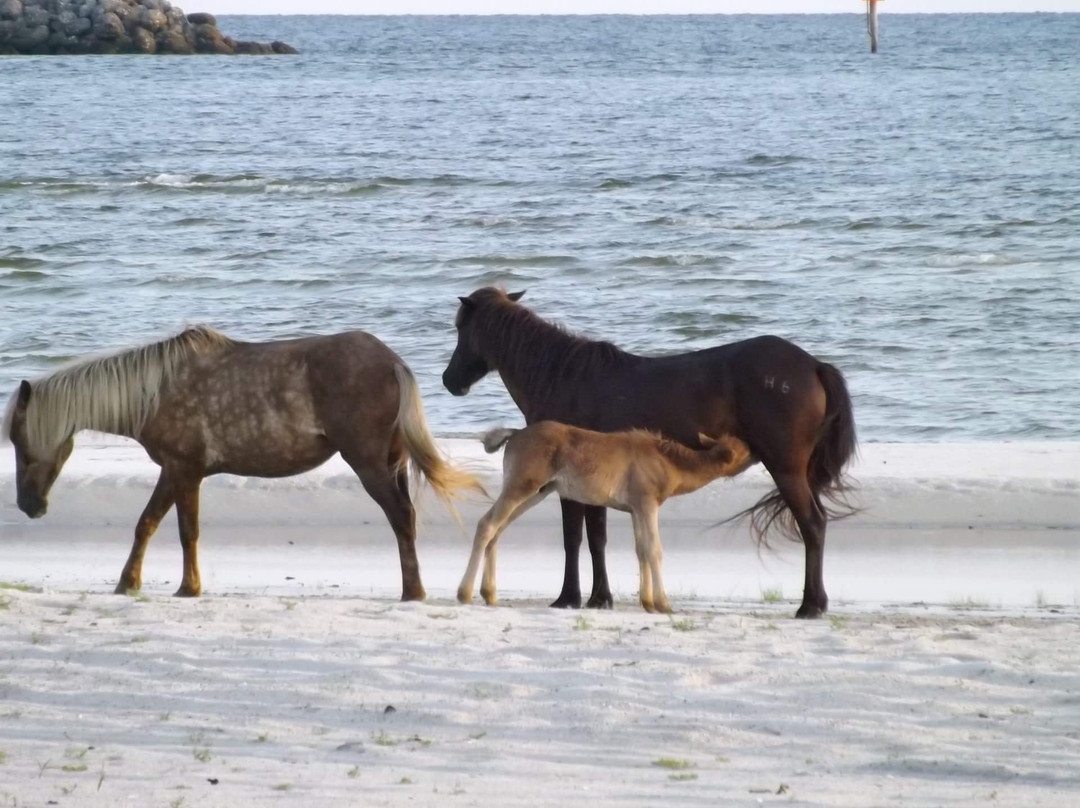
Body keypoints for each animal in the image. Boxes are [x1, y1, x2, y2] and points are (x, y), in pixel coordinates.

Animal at [2, 324, 479, 596]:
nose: (28, 505)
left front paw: (187, 587)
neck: (155, 392)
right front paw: (129, 582)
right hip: (389, 463)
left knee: (400, 516)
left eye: (20, 440)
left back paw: (412, 591)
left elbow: (184, 531)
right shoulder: (174, 470)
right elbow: (148, 524)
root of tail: (391, 360)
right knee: (406, 517)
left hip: (369, 465)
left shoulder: (184, 470)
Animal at [455, 423, 751, 613]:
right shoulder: (647, 503)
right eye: (745, 449)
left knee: (498, 529)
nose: (758, 451)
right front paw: (663, 604)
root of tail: (515, 434)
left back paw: (490, 594)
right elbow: (654, 550)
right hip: (522, 487)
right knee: (487, 524)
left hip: (536, 492)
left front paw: (647, 602)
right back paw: (465, 593)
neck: (669, 462)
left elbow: (641, 550)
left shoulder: (635, 509)